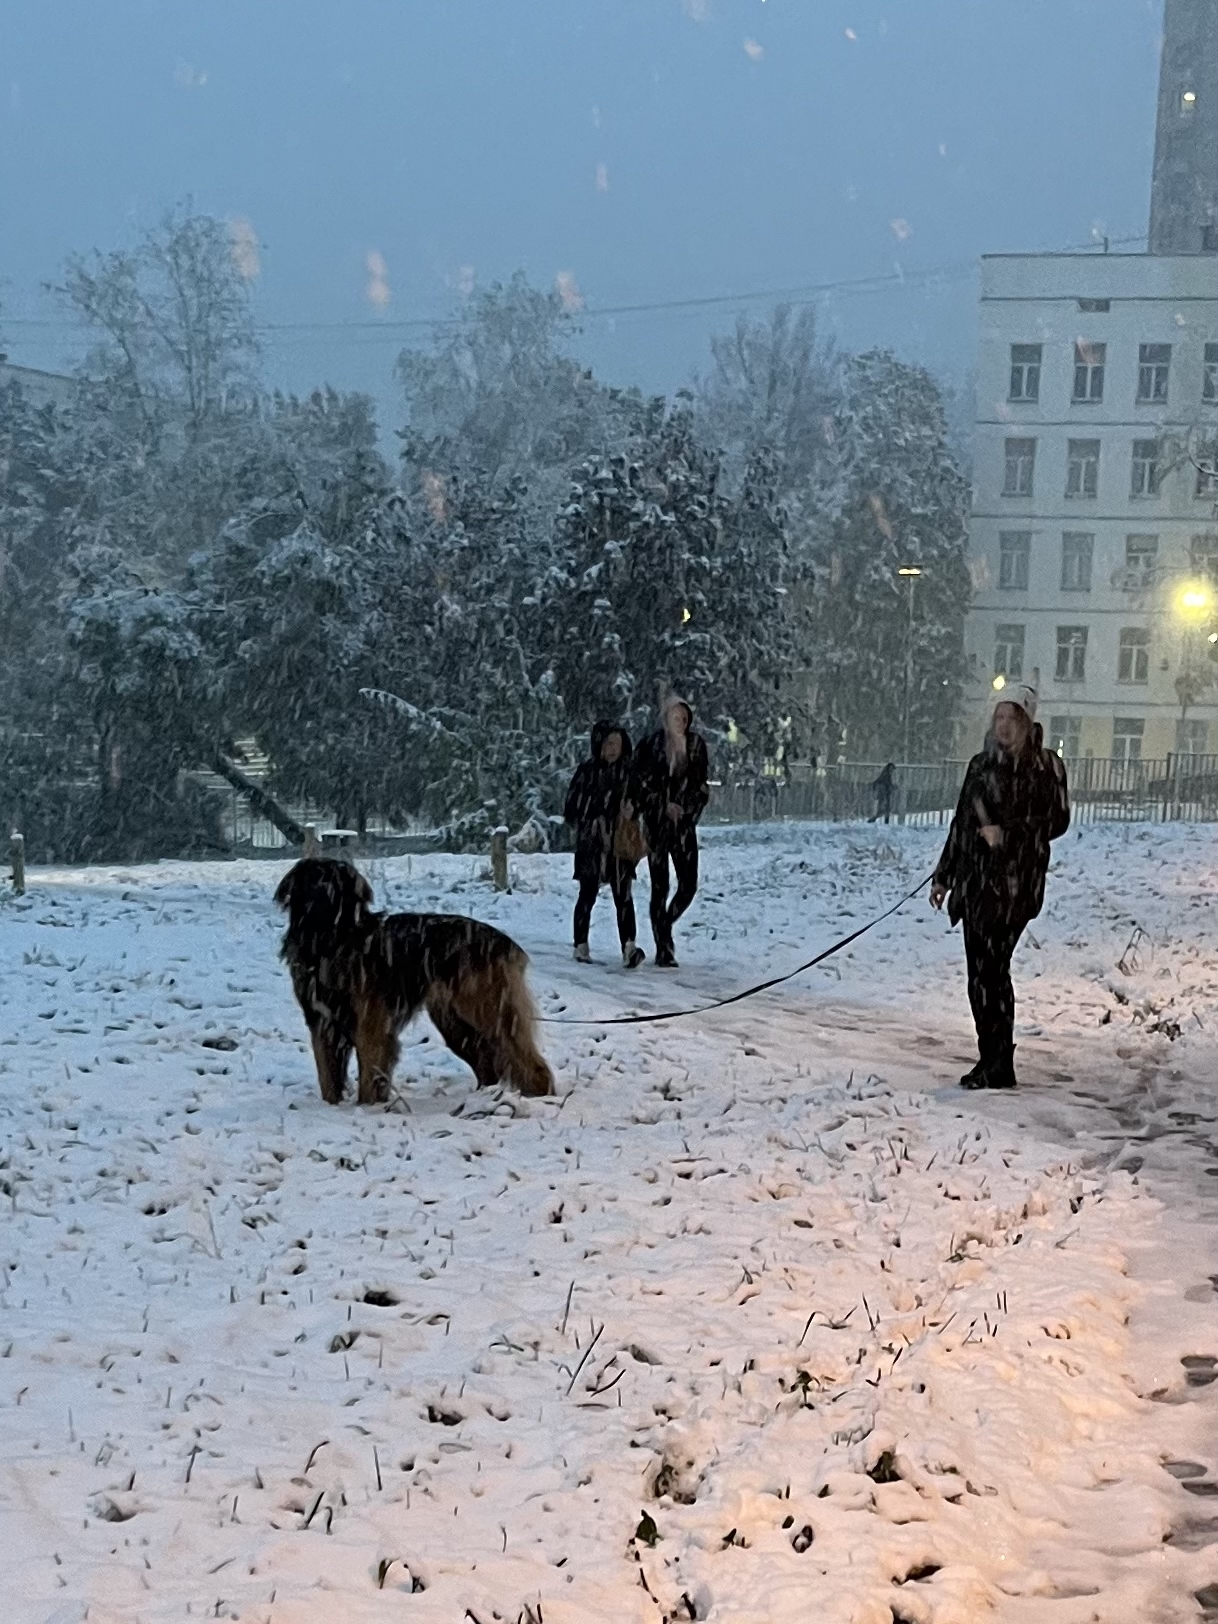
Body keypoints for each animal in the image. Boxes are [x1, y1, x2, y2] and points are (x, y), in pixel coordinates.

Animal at [274, 863, 555, 1104]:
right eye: (312, 879)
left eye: (336, 882)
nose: (322, 895)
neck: (327, 943)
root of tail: (506, 943)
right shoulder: (321, 1022)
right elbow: (328, 1077)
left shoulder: (370, 1023)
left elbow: (369, 1071)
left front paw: (368, 1107)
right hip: (456, 1025)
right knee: (488, 1066)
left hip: (487, 1011)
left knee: (524, 1059)